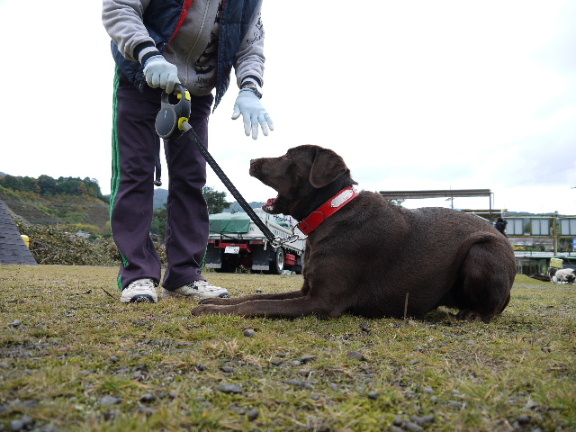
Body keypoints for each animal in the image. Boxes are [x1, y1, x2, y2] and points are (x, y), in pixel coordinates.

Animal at [191, 147, 516, 322]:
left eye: (288, 156)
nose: (251, 161)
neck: (332, 212)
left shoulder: (321, 301)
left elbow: (256, 304)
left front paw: (210, 311)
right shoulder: (306, 291)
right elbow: (258, 296)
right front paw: (214, 304)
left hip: (482, 251)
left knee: (493, 306)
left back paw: (473, 314)